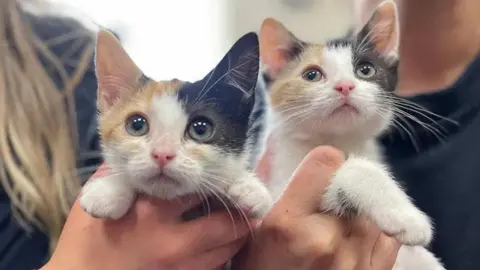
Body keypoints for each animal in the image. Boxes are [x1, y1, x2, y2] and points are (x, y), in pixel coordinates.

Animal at [258, 1, 446, 268]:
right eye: (312, 74)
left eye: (365, 70)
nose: (344, 86)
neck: (338, 141)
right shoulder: (275, 193)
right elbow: (355, 168)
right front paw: (405, 216)